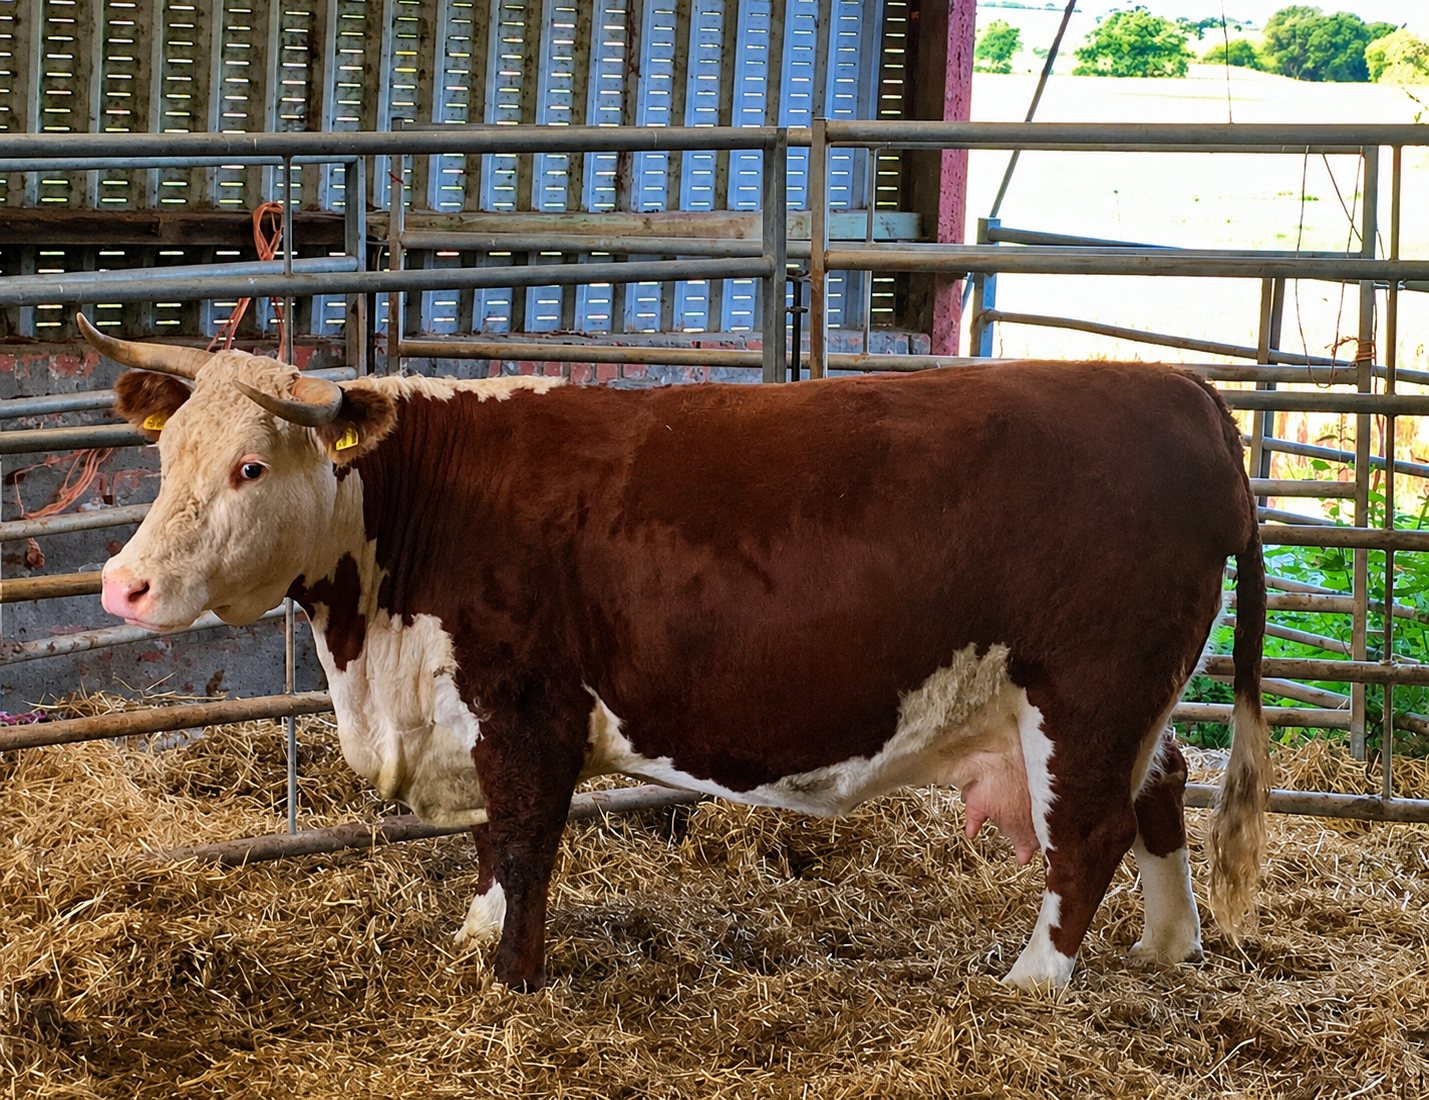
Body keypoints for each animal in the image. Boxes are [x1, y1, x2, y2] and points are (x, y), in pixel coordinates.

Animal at [81, 314, 1270, 992]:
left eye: (247, 466)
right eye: (163, 455)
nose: (119, 585)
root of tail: (1180, 390)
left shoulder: (530, 708)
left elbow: (524, 839)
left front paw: (511, 978)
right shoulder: (469, 715)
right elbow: (488, 843)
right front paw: (474, 933)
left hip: (1087, 691)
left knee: (1090, 831)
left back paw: (1034, 979)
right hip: (1137, 699)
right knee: (1164, 784)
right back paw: (1168, 946)